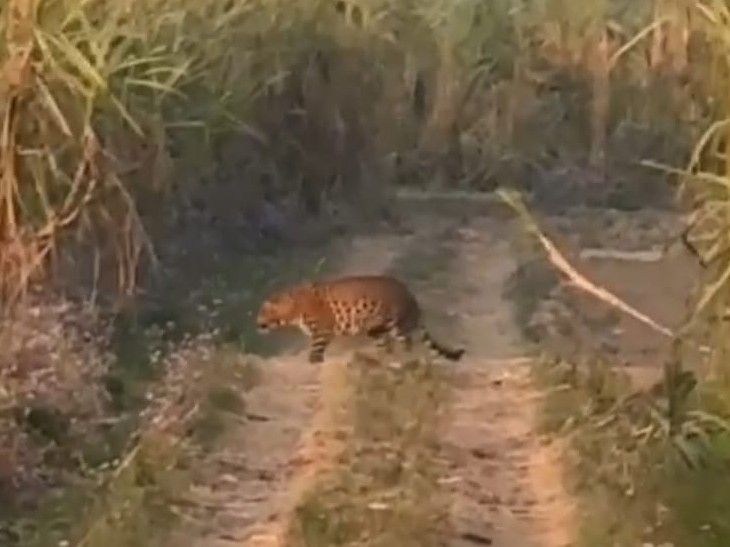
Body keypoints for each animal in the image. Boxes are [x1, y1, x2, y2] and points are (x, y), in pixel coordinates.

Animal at [256, 274, 465, 364]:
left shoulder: (322, 331)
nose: (256, 323)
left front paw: (314, 362)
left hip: (397, 325)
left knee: (407, 342)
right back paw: (381, 359)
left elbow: (315, 352)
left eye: (263, 312)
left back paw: (405, 357)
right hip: (377, 330)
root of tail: (411, 295)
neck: (294, 307)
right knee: (387, 346)